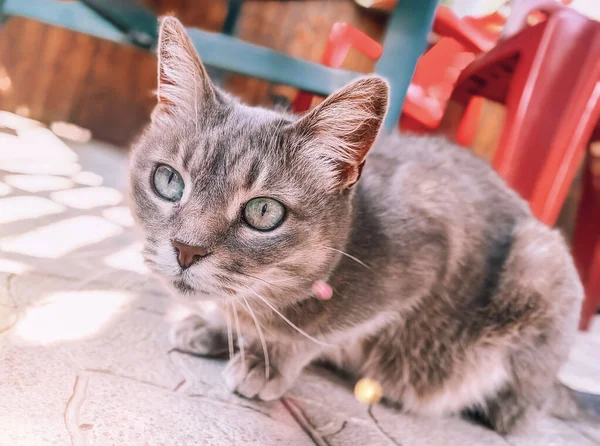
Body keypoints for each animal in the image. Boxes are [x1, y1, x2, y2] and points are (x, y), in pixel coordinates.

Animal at [130, 17, 584, 432]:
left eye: (263, 213)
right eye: (169, 181)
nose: (186, 249)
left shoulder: (422, 264)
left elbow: (312, 332)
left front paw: (267, 358)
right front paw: (217, 326)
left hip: (537, 266)